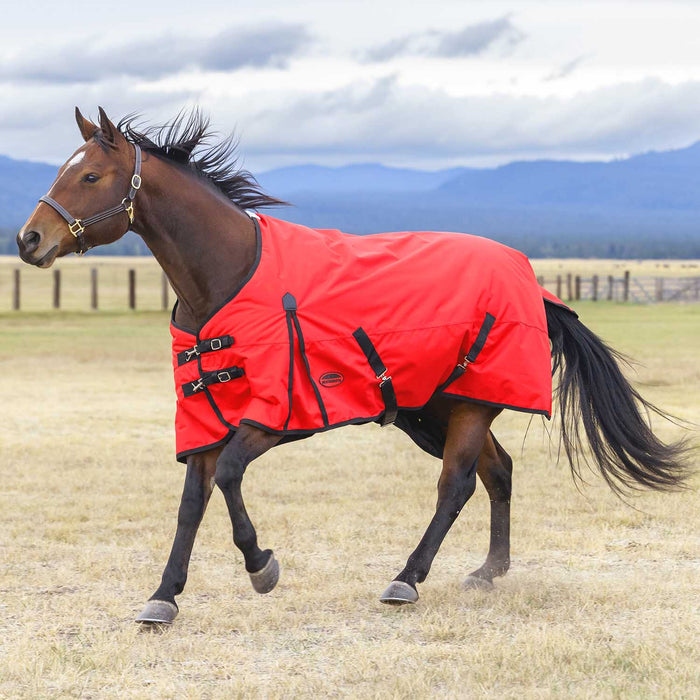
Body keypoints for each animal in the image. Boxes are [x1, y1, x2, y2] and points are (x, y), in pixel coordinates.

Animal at [16, 107, 690, 625]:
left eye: (91, 174)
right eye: (61, 170)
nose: (29, 240)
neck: (229, 277)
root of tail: (533, 285)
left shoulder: (273, 416)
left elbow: (230, 477)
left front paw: (262, 567)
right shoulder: (205, 419)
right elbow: (191, 503)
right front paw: (164, 597)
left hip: (469, 404)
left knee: (457, 484)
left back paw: (408, 579)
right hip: (438, 408)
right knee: (497, 473)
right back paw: (488, 572)